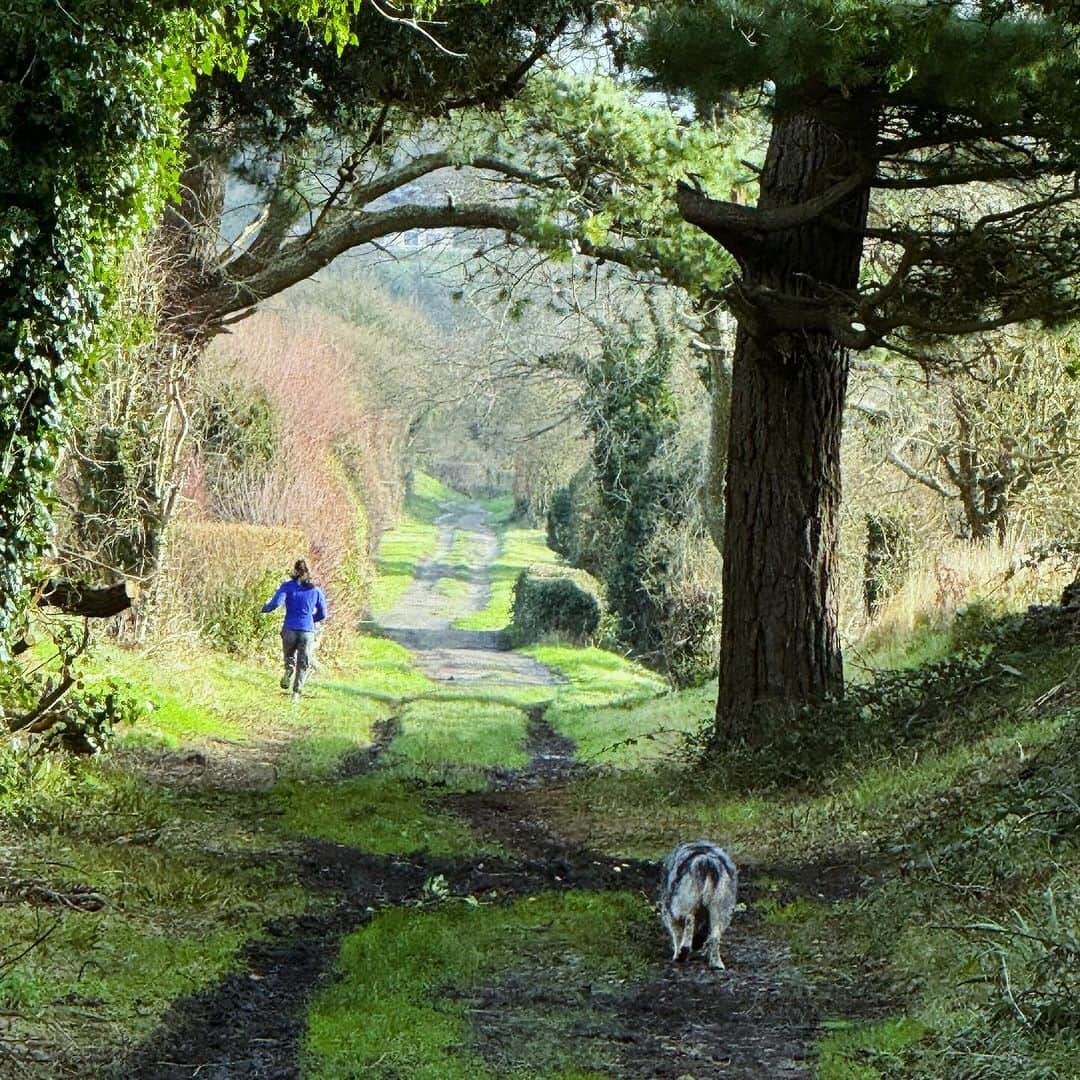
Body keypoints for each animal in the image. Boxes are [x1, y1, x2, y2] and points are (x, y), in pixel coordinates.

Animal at [656, 838, 734, 967]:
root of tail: (706, 861)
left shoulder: (670, 913)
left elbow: (677, 934)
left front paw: (677, 954)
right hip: (720, 906)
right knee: (715, 936)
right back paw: (716, 963)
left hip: (683, 901)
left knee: (689, 919)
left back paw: (683, 952)